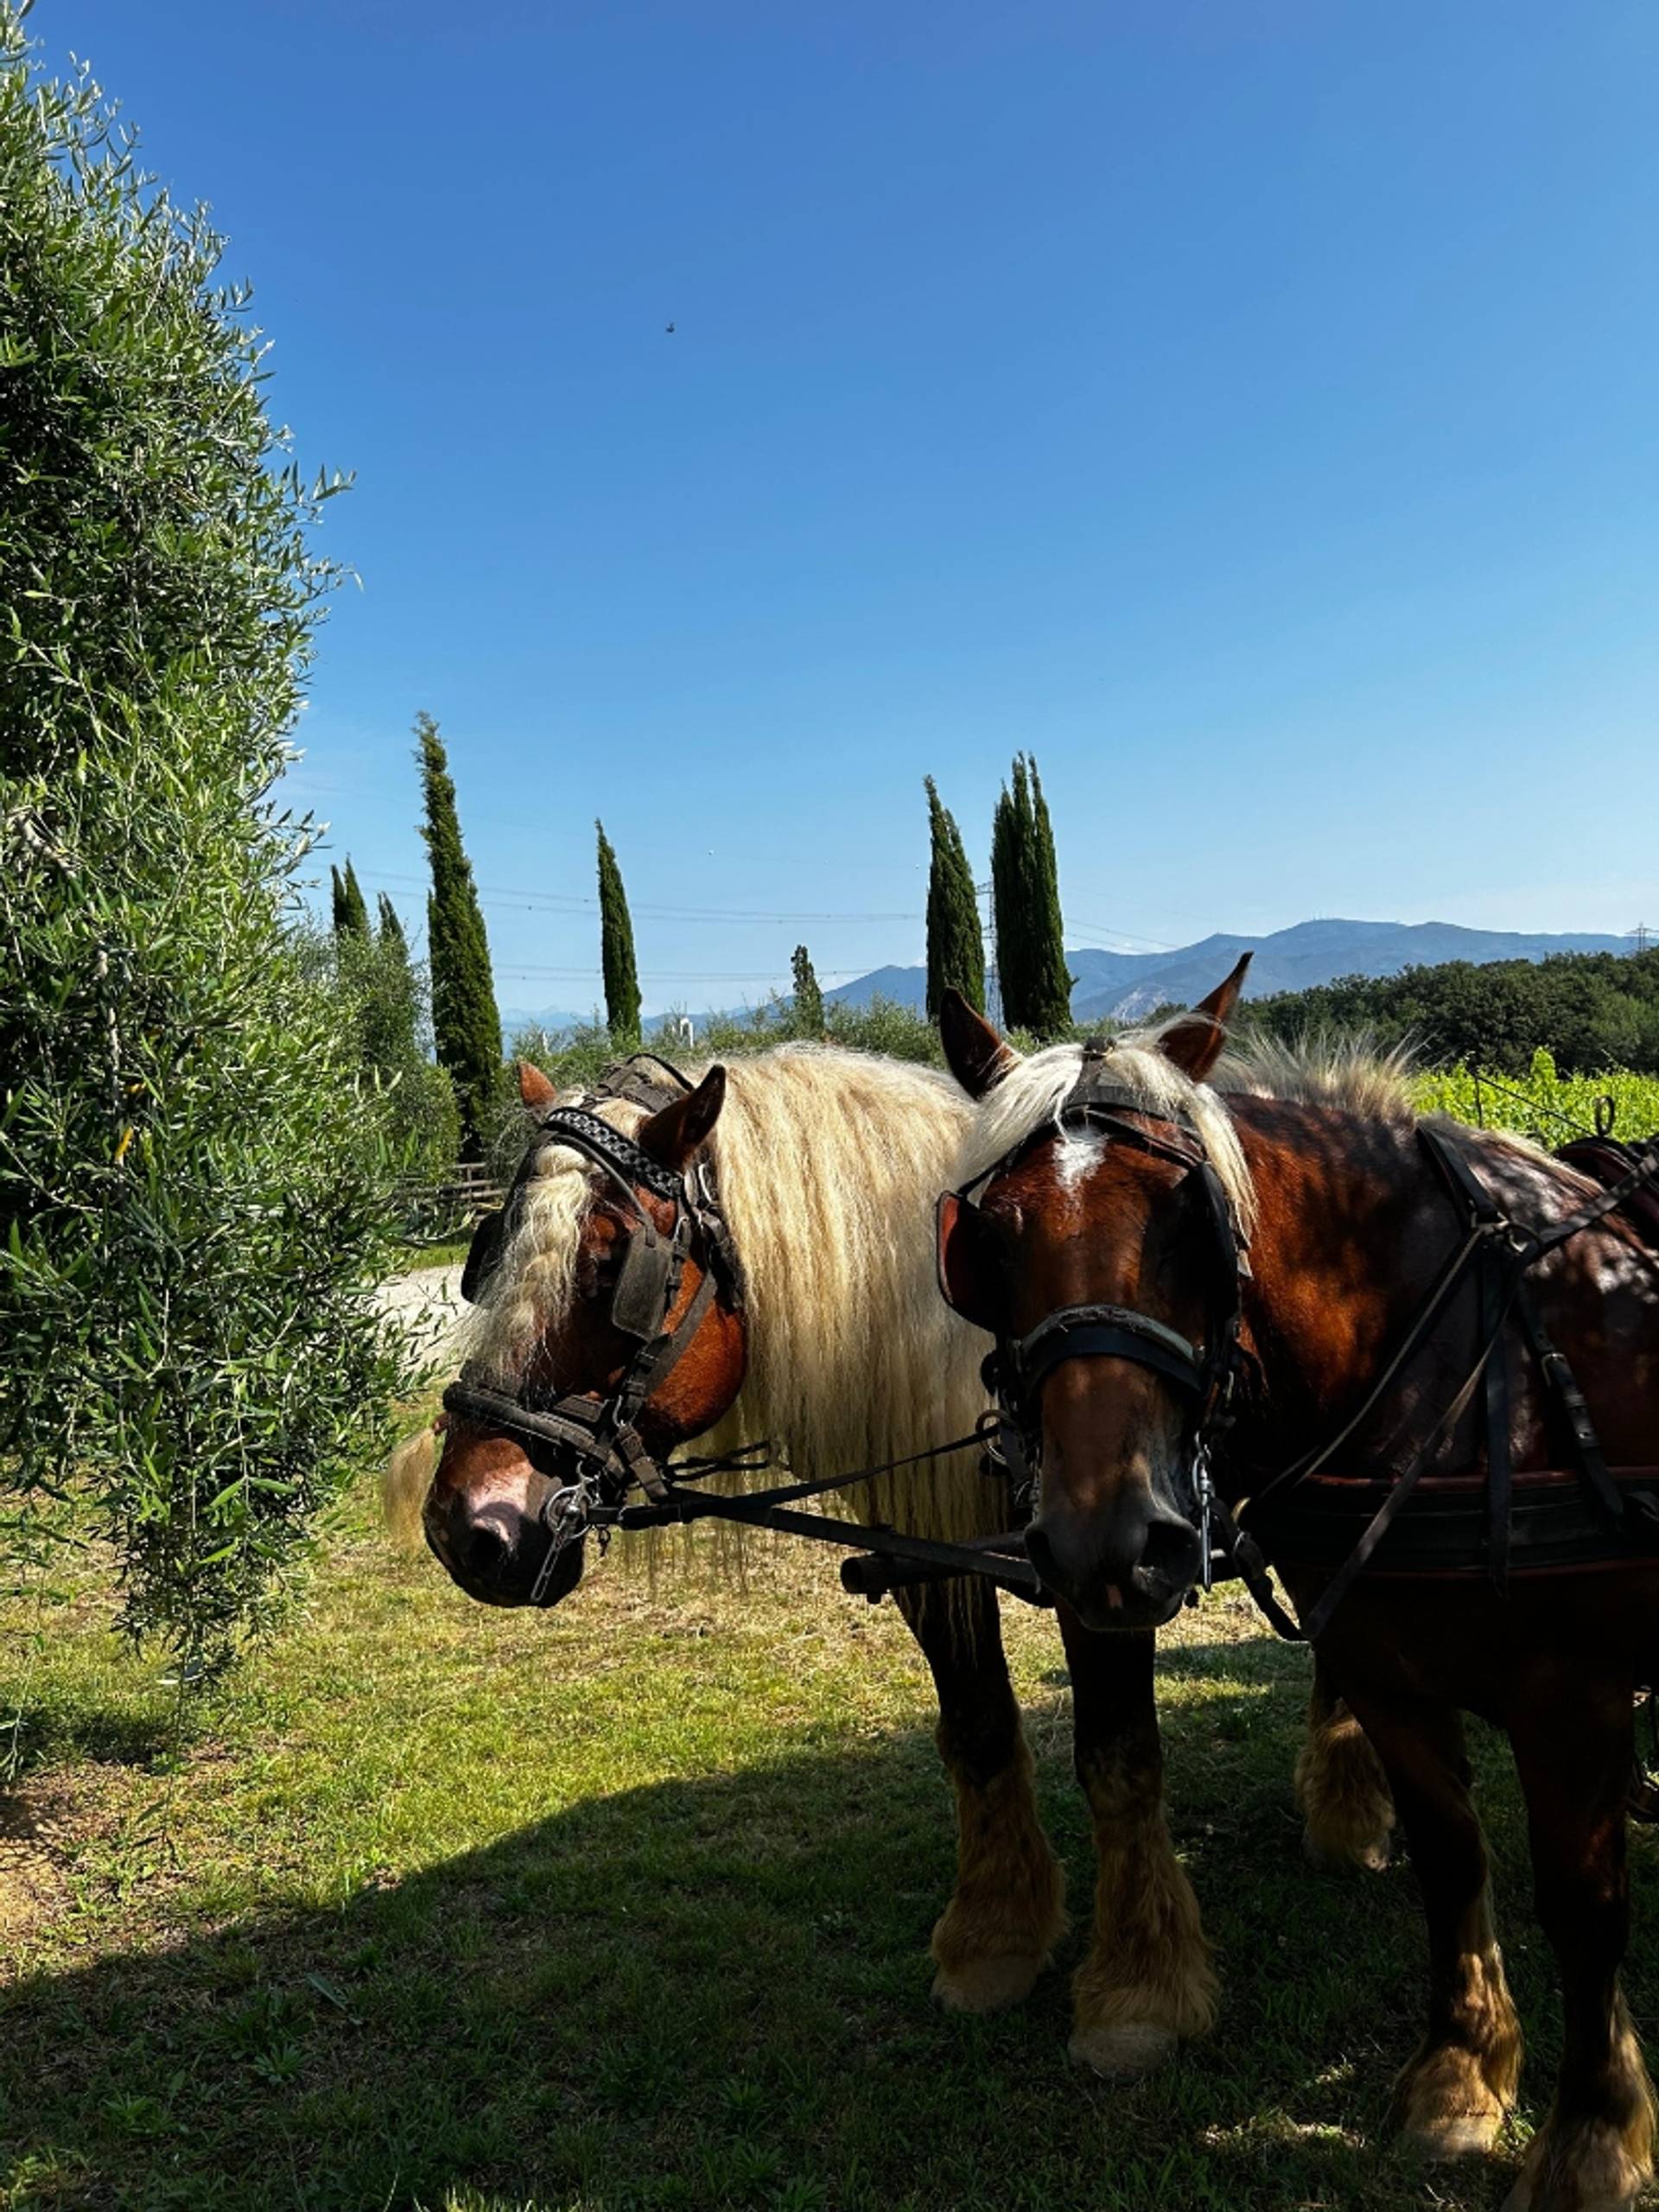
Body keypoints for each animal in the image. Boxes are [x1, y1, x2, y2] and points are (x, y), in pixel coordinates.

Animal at [387, 1042, 1384, 2075]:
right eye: (491, 1253)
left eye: (612, 1259)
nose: (466, 1527)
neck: (973, 1344)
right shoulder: (932, 1562)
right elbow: (979, 1733)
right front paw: (994, 1936)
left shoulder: (1110, 1564)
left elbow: (1119, 1757)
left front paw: (1137, 1988)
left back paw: (1348, 1810)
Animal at [935, 967, 1659, 2208]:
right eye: (986, 1237)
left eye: (1196, 1222)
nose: (1107, 1544)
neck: (1470, 1370)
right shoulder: (1386, 1673)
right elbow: (1451, 1857)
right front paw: (1460, 2076)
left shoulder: (1577, 1699)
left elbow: (1584, 1905)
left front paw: (1594, 2139)